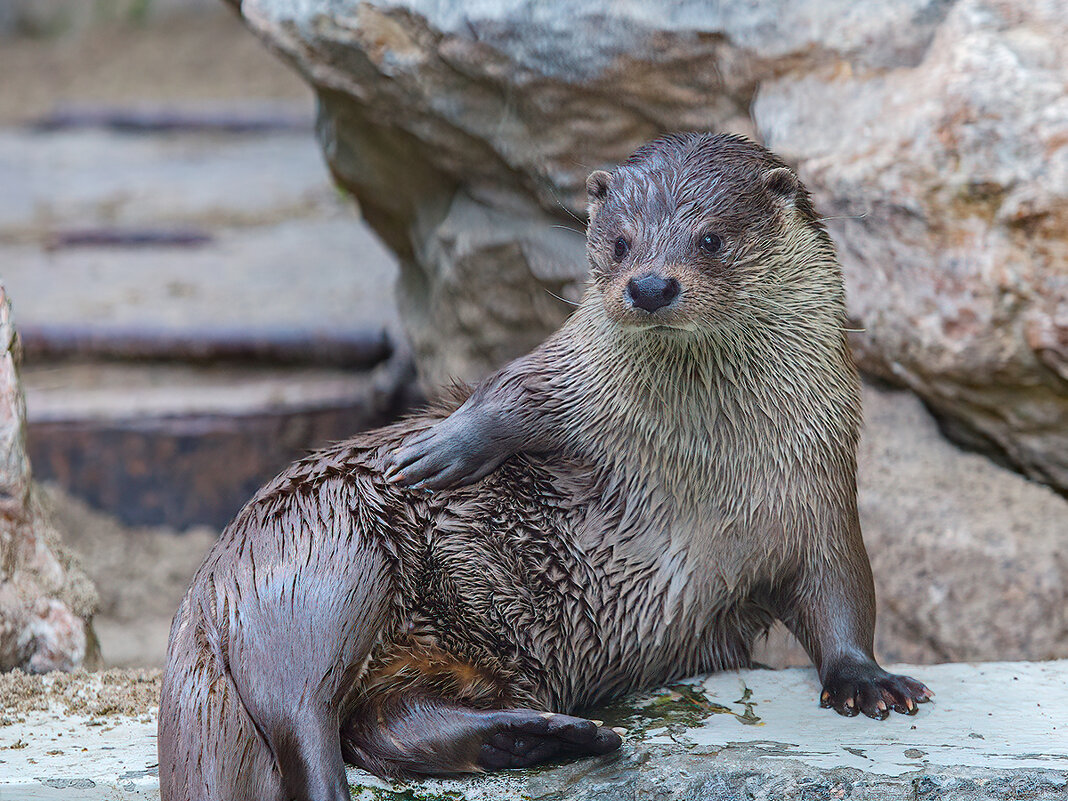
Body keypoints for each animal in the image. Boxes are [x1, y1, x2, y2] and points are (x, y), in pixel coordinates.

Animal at [155, 135, 927, 798]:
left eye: (712, 239)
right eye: (618, 243)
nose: (649, 284)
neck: (702, 464)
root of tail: (206, 595)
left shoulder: (818, 488)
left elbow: (842, 593)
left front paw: (867, 680)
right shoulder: (569, 376)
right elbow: (515, 388)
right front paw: (441, 447)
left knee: (389, 723)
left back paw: (550, 735)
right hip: (326, 561)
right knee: (301, 711)